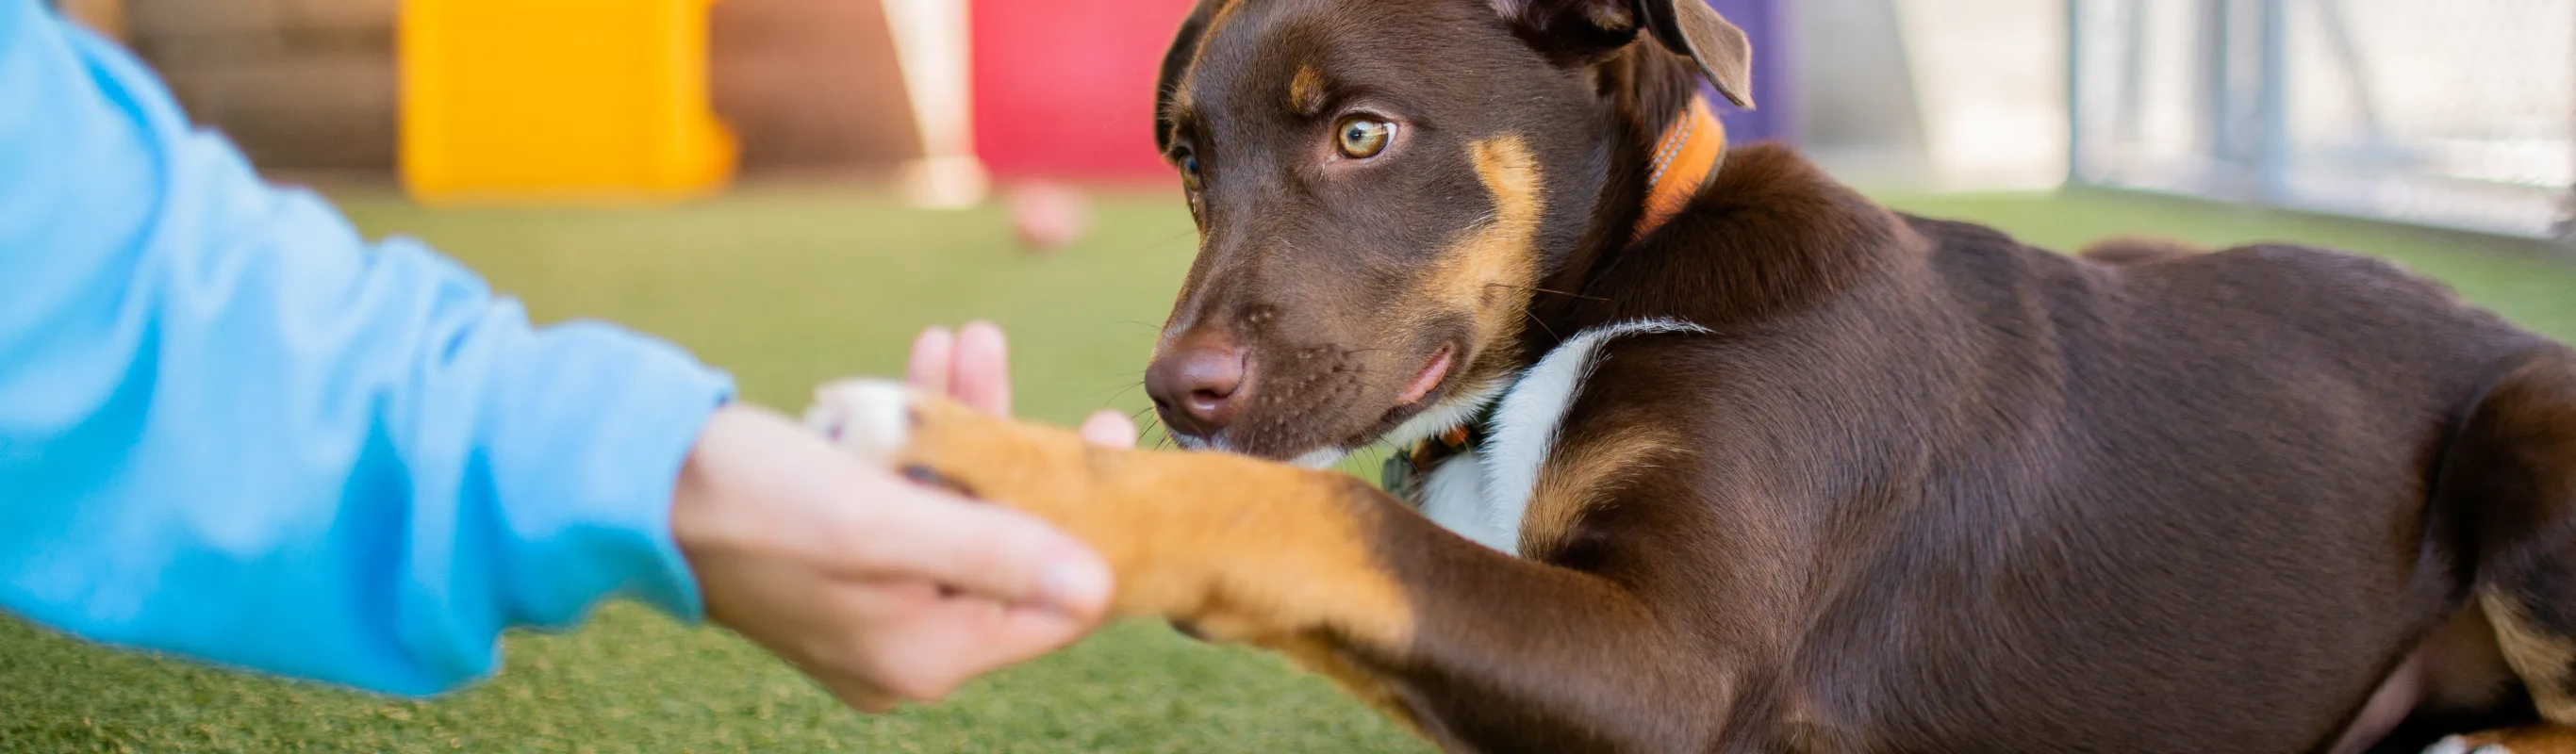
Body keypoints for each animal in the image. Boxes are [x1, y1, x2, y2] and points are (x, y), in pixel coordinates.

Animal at [814, 3, 2576, 746]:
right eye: (1186, 160)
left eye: (1362, 132)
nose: (1177, 393)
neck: (1614, 293)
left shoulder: (1676, 673)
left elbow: (1318, 523)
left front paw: (995, 462)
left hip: (2528, 434)